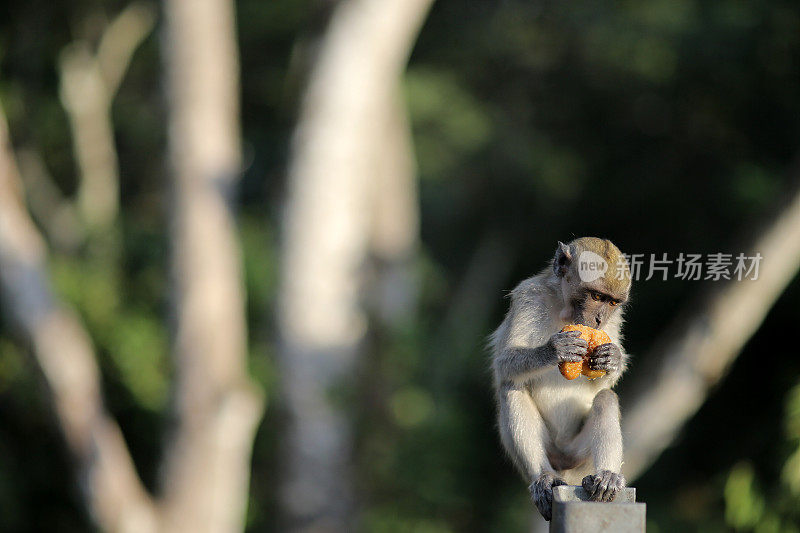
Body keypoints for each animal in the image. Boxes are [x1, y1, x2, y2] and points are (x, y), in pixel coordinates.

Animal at [488, 236, 632, 520]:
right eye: (596, 296)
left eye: (611, 303)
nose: (598, 319)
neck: (565, 311)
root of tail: (563, 459)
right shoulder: (528, 296)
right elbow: (504, 364)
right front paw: (554, 350)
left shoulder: (614, 321)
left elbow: (604, 382)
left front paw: (612, 359)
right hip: (550, 452)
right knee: (512, 389)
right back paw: (543, 477)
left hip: (579, 456)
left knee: (606, 399)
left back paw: (607, 476)